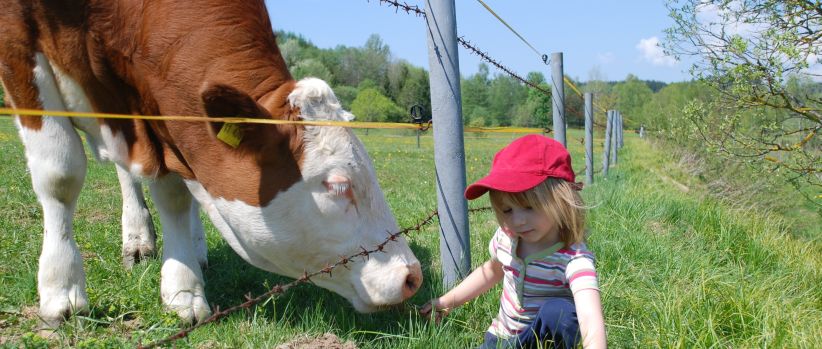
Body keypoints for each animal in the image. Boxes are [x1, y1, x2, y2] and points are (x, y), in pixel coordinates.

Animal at [0, 0, 424, 326]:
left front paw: (183, 288)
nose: (411, 275)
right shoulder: (18, 40)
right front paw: (62, 291)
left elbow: (174, 194)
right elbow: (60, 174)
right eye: (338, 185)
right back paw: (137, 239)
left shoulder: (160, 112)